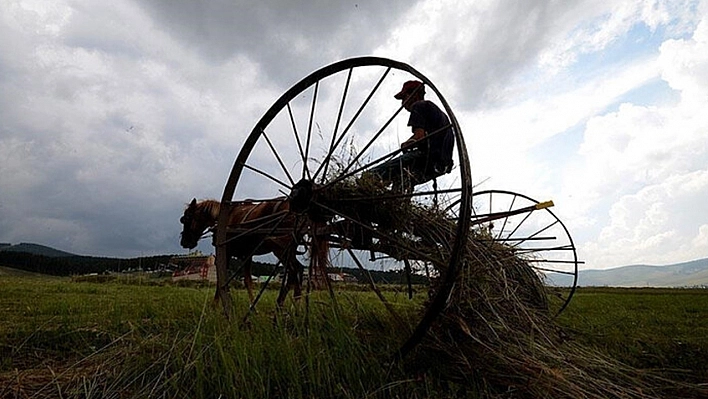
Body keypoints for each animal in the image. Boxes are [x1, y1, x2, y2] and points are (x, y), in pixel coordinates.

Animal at [177, 199, 306, 306]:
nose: (184, 242)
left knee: (294, 270)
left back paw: (290, 304)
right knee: (297, 270)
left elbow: (221, 279)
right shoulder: (246, 255)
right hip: (289, 249)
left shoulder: (225, 252)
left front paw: (215, 305)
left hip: (281, 249)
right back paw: (289, 303)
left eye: (186, 218)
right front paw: (252, 305)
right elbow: (247, 280)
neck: (223, 218)